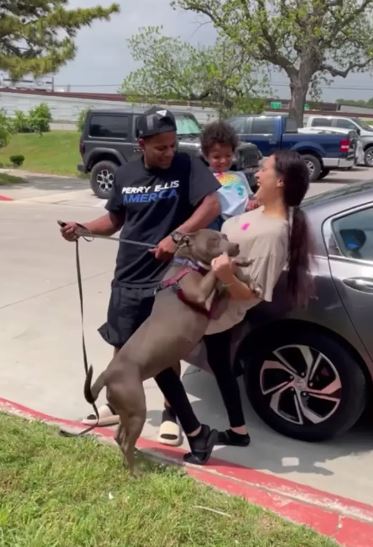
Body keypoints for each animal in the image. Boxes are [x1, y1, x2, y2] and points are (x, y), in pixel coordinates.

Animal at [84, 229, 240, 474]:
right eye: (214, 240)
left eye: (224, 236)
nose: (236, 246)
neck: (187, 263)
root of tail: (107, 374)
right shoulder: (199, 294)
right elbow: (213, 277)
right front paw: (225, 266)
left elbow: (221, 290)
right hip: (136, 408)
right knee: (125, 441)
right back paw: (135, 473)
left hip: (126, 409)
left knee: (120, 436)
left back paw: (133, 460)